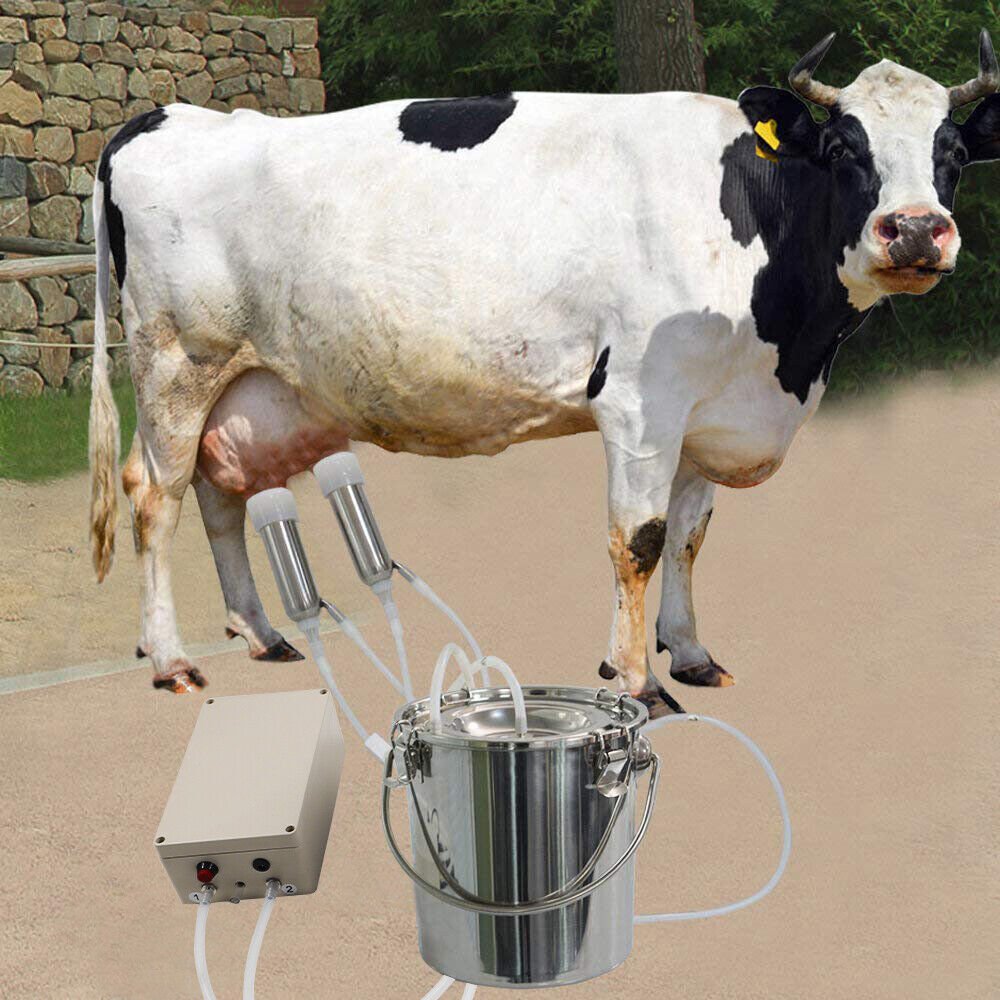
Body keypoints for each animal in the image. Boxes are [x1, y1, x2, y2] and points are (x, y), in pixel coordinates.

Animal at [88, 32, 1000, 713]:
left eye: (953, 150)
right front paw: (636, 681)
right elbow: (640, 539)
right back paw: (170, 659)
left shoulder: (710, 408)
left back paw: (260, 632)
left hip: (245, 384)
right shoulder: (640, 398)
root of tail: (167, 116)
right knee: (156, 496)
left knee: (219, 492)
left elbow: (691, 536)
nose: (915, 230)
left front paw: (690, 653)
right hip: (176, 360)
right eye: (846, 148)